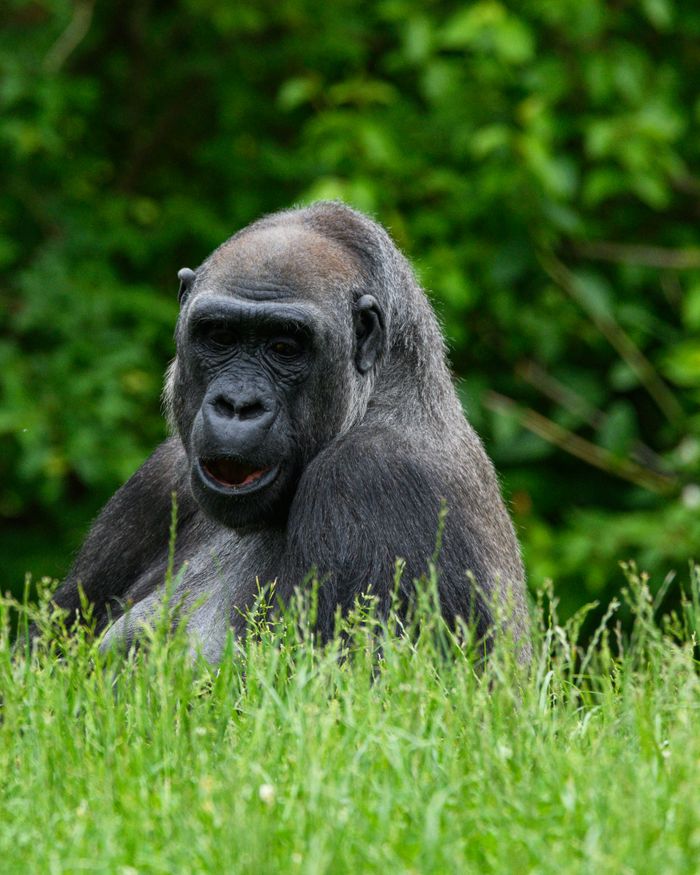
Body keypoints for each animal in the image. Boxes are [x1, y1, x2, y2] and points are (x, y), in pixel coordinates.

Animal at [47, 201, 530, 662]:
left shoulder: (371, 475)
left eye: (284, 347)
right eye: (219, 336)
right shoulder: (159, 477)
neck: (388, 389)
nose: (238, 405)